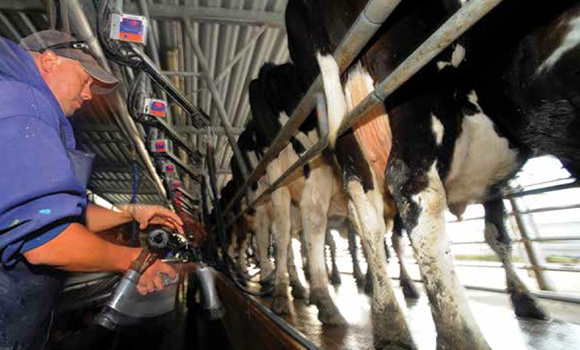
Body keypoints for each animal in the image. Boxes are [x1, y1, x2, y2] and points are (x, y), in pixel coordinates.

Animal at [286, 0, 580, 348]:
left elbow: (496, 235)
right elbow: (498, 235)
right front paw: (525, 299)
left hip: (347, 129)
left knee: (364, 216)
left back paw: (389, 325)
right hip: (413, 80)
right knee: (410, 185)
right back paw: (458, 334)